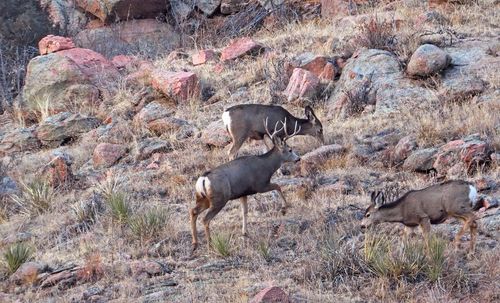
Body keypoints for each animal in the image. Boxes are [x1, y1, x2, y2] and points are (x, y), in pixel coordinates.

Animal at [190, 117, 300, 253]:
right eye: (290, 150)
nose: (298, 158)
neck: (267, 166)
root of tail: (203, 179)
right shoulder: (260, 185)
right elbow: (277, 186)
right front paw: (284, 207)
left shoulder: (243, 193)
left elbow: (244, 211)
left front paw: (245, 232)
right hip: (219, 199)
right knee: (205, 219)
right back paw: (210, 244)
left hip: (203, 198)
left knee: (193, 211)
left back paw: (195, 242)